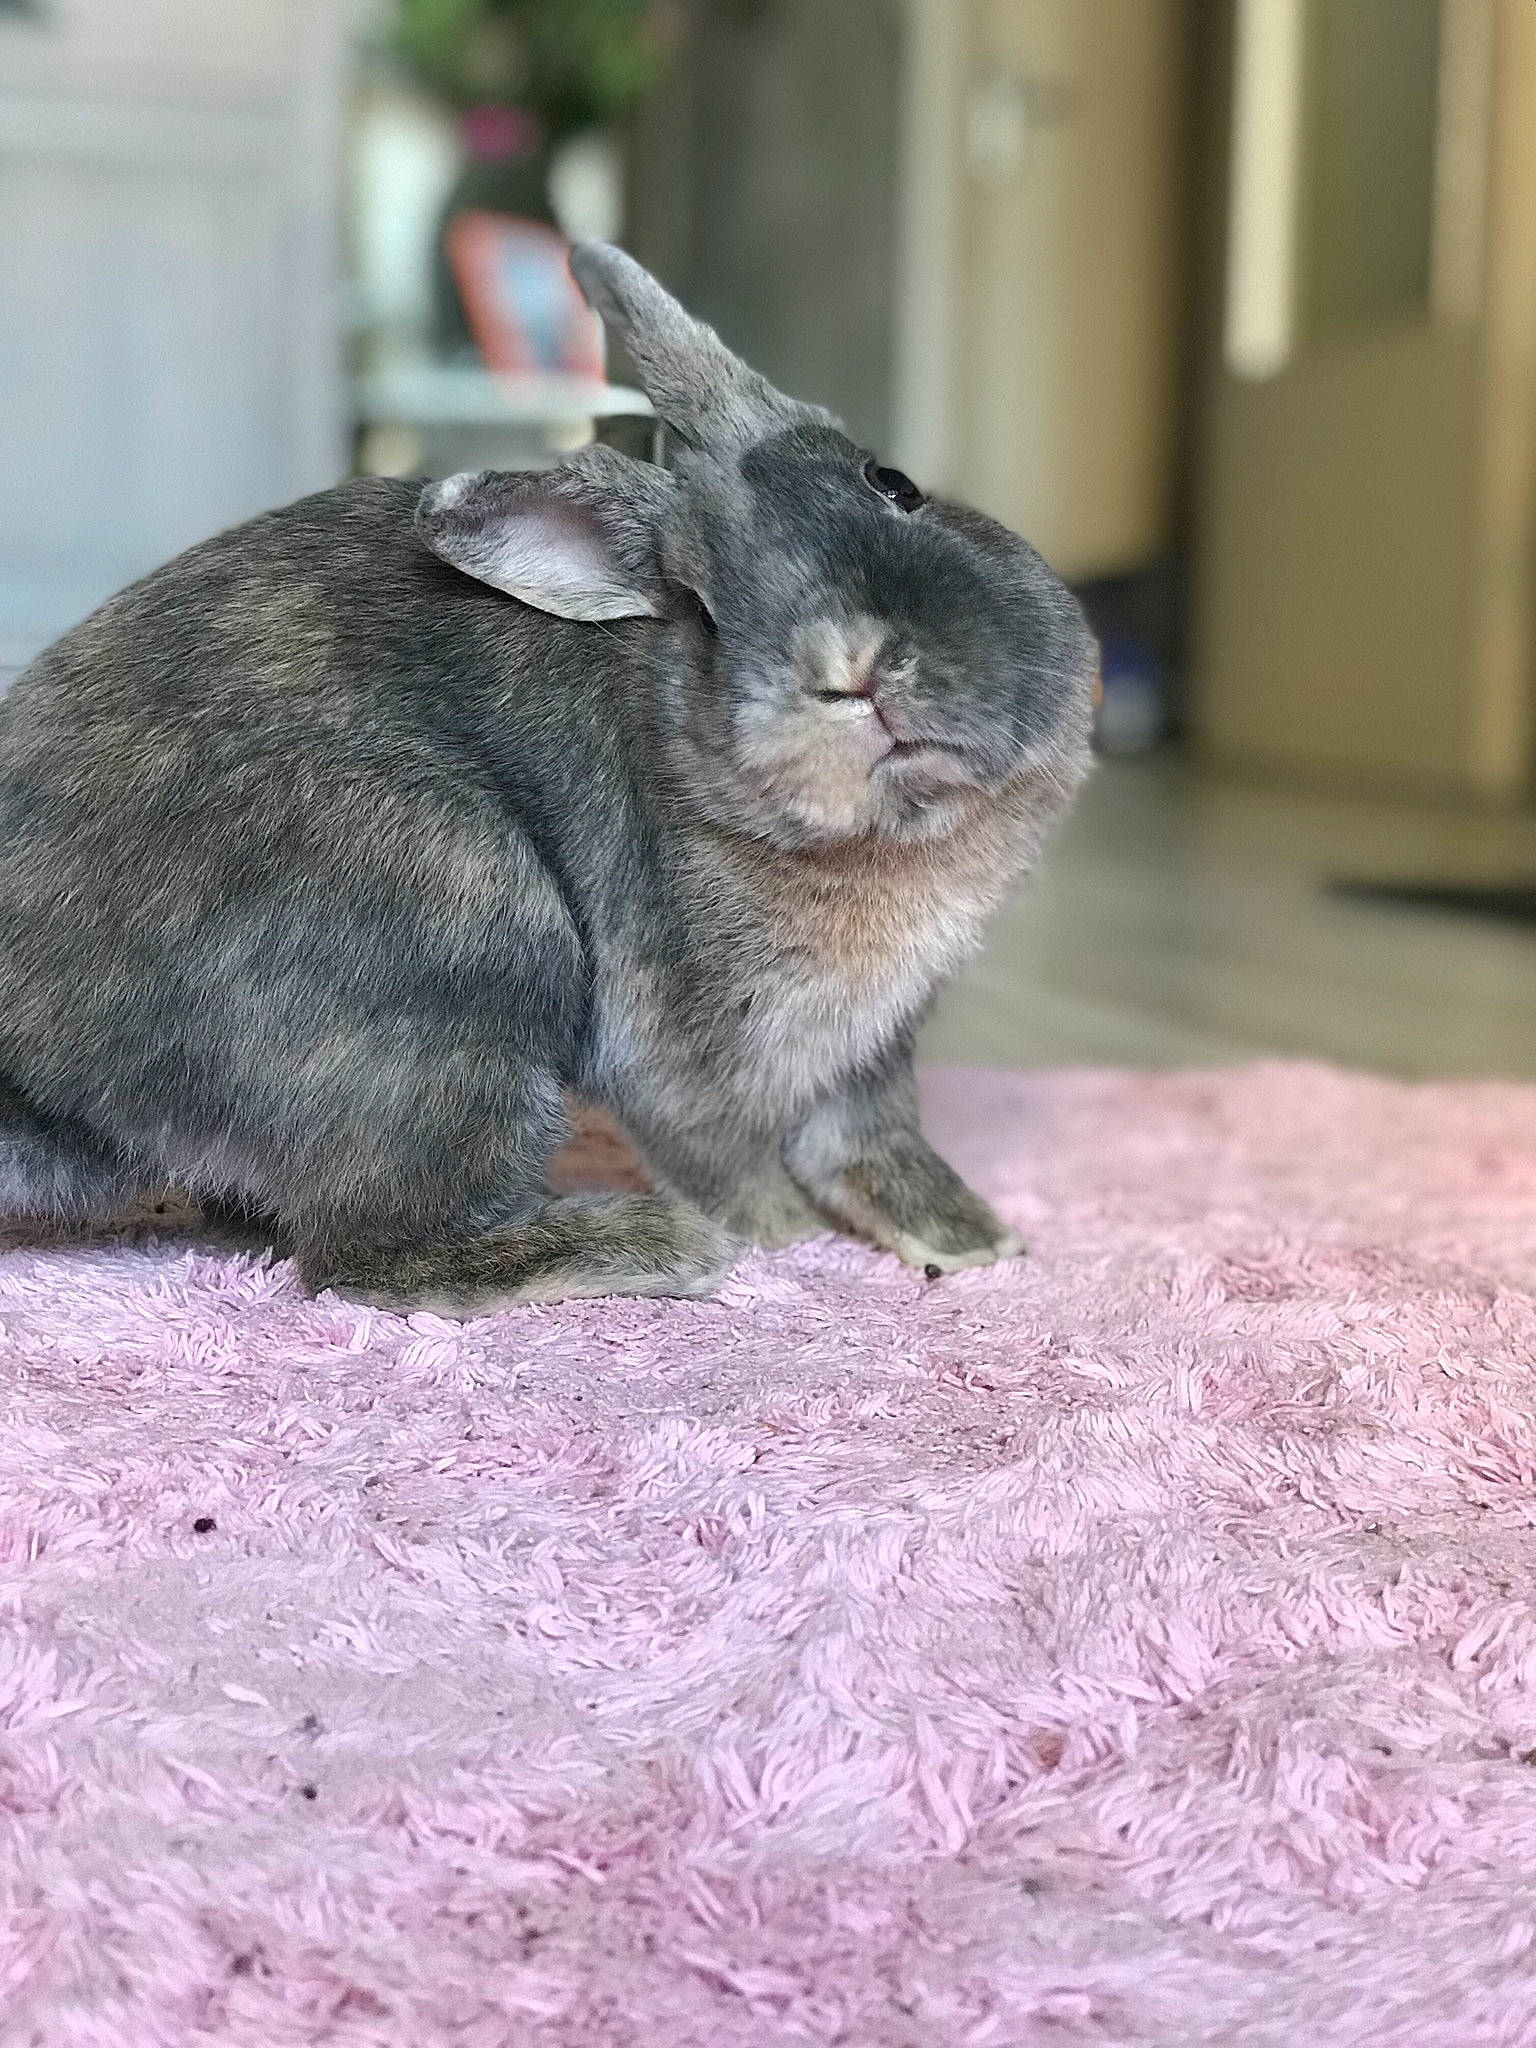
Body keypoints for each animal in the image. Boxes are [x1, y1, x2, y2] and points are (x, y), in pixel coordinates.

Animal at [0, 244, 1096, 1315]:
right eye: (703, 609)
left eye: (895, 483)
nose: (850, 664)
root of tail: (51, 1088)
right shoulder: (682, 1054)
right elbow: (734, 1162)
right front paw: (791, 1248)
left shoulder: (872, 1048)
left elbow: (876, 1139)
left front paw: (974, 1242)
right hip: (464, 940)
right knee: (367, 1257)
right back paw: (655, 1244)